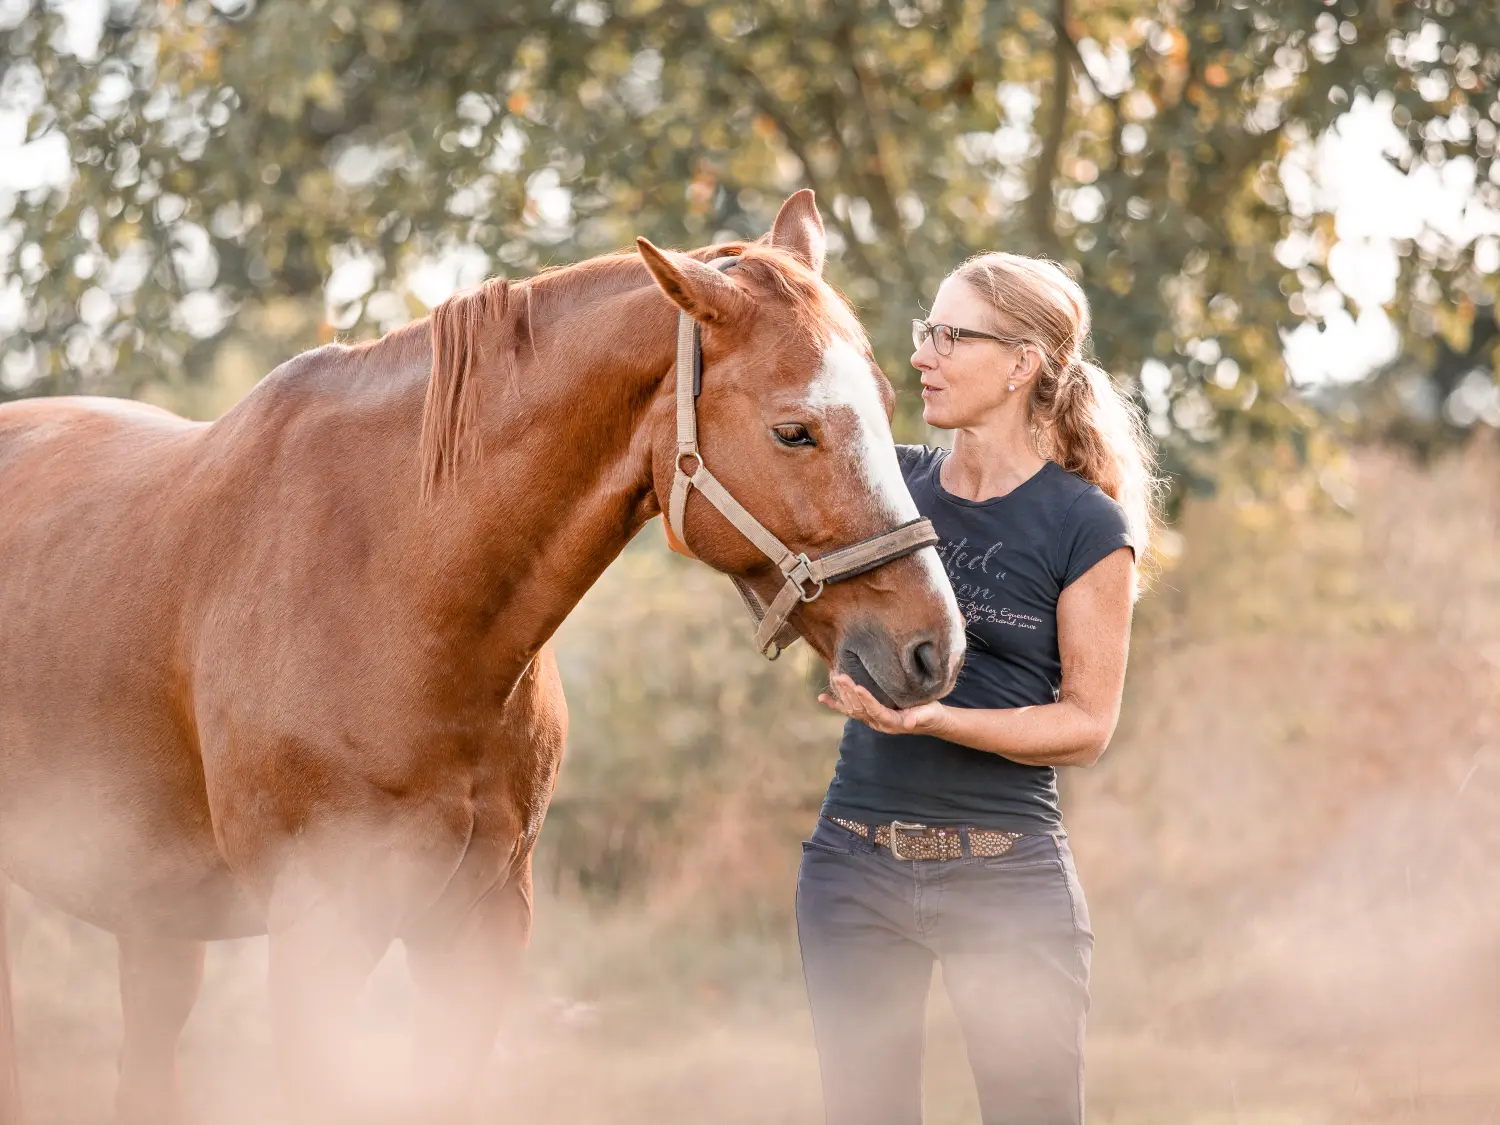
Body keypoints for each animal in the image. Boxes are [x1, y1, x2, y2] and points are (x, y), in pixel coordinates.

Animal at [0, 189, 966, 1122]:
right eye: (794, 430)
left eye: (888, 399)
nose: (934, 646)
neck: (398, 593)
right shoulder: (318, 936)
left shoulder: (483, 924)